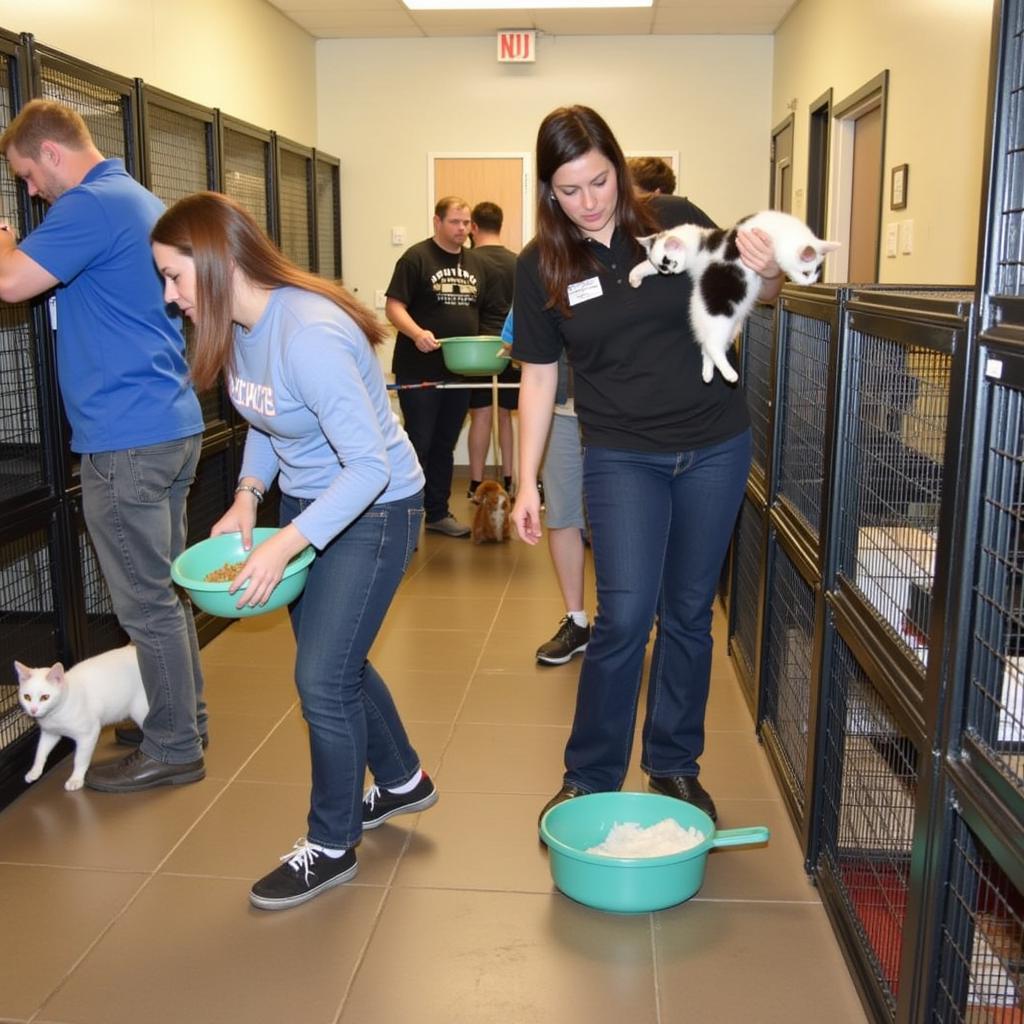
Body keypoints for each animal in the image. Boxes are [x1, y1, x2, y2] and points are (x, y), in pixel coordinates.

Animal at [17, 643, 148, 794]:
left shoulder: (89, 734)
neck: (55, 714)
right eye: (27, 697)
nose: (33, 710)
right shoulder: (50, 733)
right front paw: (34, 771)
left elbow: (80, 759)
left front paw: (76, 779)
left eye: (45, 697)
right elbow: (40, 752)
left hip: (140, 710)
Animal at [622, 210, 839, 385]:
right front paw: (635, 275)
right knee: (711, 345)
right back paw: (728, 374)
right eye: (806, 273)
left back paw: (709, 373)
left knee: (708, 346)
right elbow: (646, 265)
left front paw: (635, 275)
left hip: (727, 325)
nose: (810, 283)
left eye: (816, 271)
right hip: (718, 318)